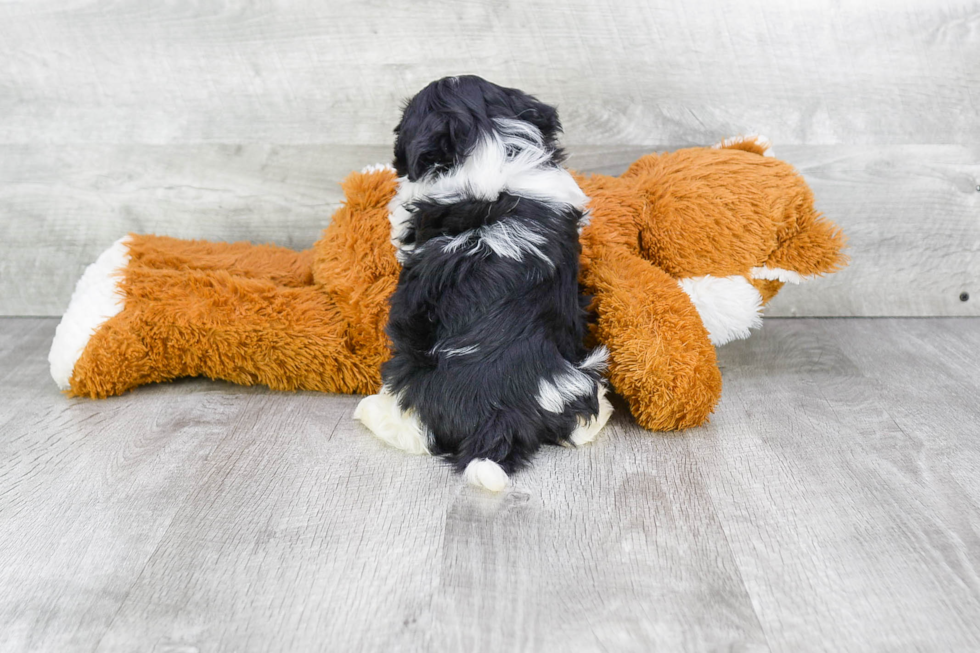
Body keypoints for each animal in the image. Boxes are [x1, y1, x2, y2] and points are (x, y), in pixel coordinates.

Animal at [352, 75, 612, 488]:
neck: (489, 143)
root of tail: (499, 413)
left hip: (410, 378)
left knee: (412, 431)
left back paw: (369, 410)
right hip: (571, 379)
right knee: (579, 415)